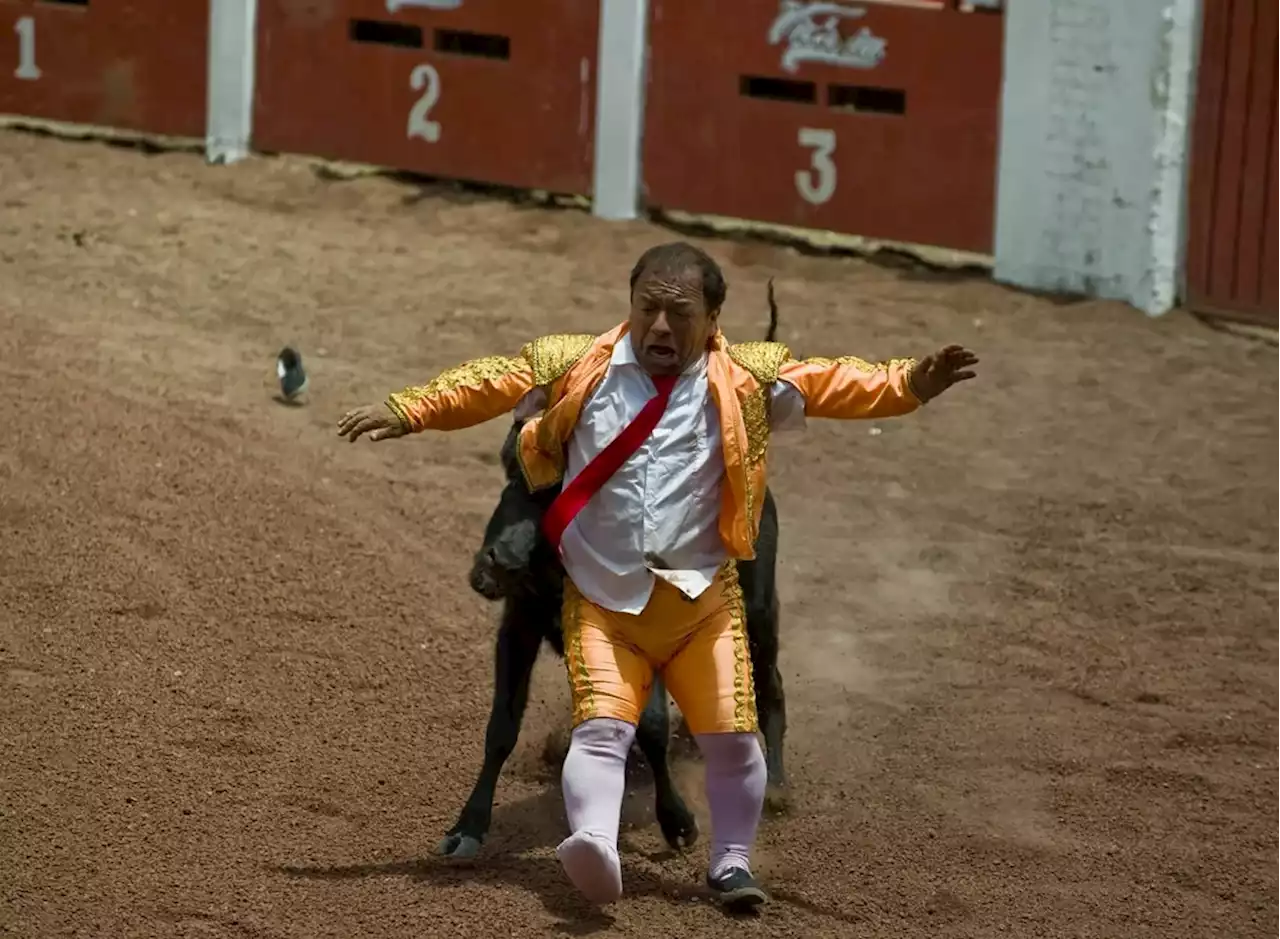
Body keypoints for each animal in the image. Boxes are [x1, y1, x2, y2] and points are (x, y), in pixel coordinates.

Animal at [435, 299, 783, 859]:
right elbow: (502, 727)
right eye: (512, 477)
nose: (498, 563)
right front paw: (467, 827)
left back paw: (777, 787)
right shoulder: (519, 627)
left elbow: (654, 725)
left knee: (770, 685)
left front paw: (678, 822)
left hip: (760, 610)